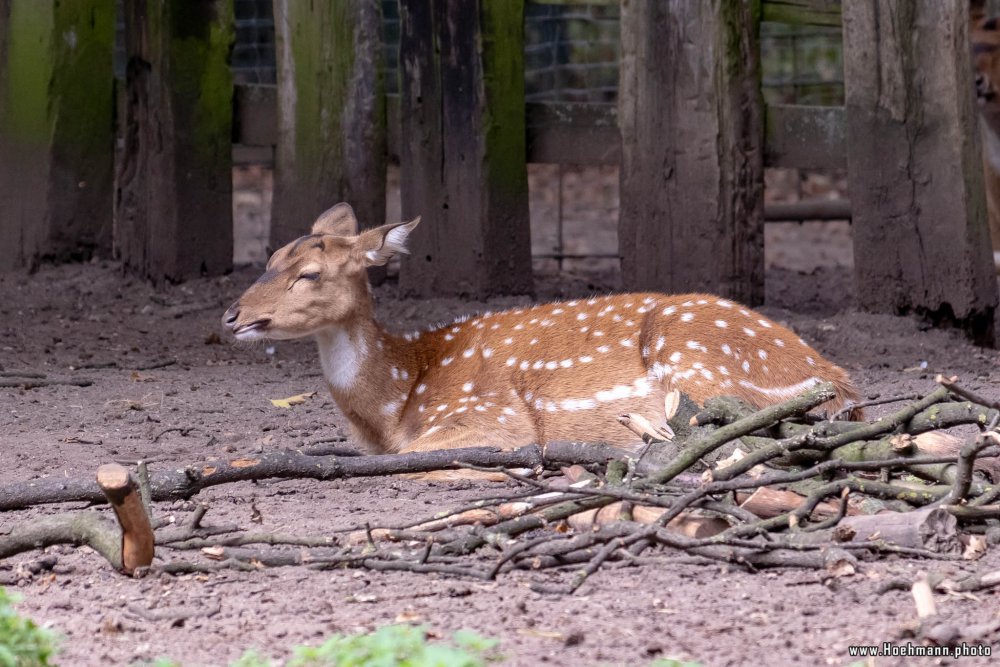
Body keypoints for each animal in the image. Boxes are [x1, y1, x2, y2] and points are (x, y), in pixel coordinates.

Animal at [223, 202, 864, 454]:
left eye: (308, 273)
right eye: (270, 256)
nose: (232, 315)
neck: (398, 399)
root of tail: (841, 382)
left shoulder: (493, 417)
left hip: (698, 364)